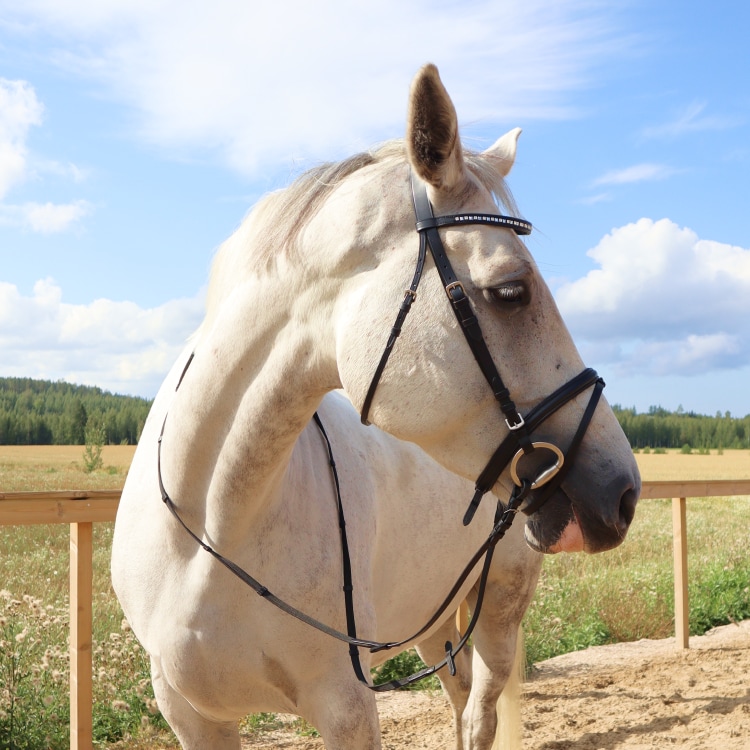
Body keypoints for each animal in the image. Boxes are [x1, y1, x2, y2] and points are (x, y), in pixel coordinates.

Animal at [111, 66, 640, 750]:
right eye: (511, 291)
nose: (622, 492)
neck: (210, 529)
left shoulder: (346, 706)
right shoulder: (194, 716)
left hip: (498, 609)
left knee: (479, 714)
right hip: (433, 623)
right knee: (460, 697)